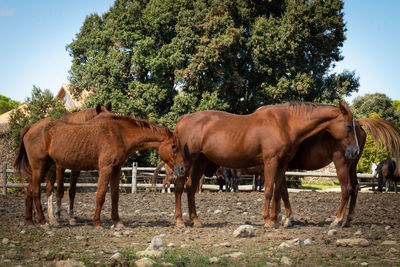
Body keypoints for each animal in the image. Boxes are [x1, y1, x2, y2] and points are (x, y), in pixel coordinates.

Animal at [14, 113, 186, 228]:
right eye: (174, 146)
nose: (183, 168)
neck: (118, 133)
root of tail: (30, 127)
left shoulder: (116, 169)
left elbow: (115, 196)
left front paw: (117, 221)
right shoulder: (106, 168)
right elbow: (101, 194)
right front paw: (97, 222)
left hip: (41, 169)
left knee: (29, 192)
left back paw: (29, 221)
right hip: (40, 168)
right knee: (36, 192)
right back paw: (44, 221)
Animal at [174, 102, 360, 228]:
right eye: (348, 126)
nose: (355, 151)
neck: (285, 123)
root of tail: (184, 119)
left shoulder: (282, 164)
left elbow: (278, 192)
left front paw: (276, 219)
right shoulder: (271, 162)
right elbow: (269, 190)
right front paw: (268, 220)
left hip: (199, 162)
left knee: (190, 188)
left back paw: (195, 220)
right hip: (186, 164)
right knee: (180, 187)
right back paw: (180, 220)